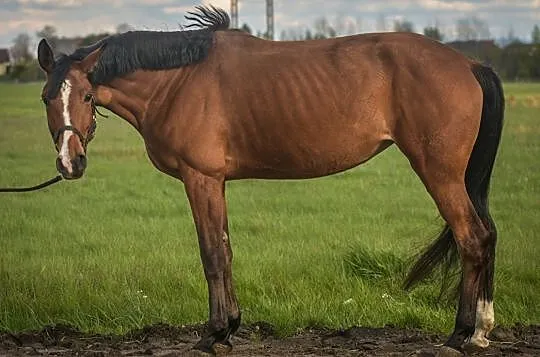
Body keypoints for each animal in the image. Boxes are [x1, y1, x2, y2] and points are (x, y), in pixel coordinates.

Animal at [37, 4, 502, 354]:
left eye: (87, 95)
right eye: (45, 97)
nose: (70, 163)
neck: (178, 80)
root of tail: (469, 64)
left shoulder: (200, 178)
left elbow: (211, 253)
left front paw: (214, 334)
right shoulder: (216, 182)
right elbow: (225, 249)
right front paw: (230, 327)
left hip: (439, 172)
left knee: (472, 238)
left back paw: (461, 334)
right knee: (487, 234)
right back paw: (481, 330)